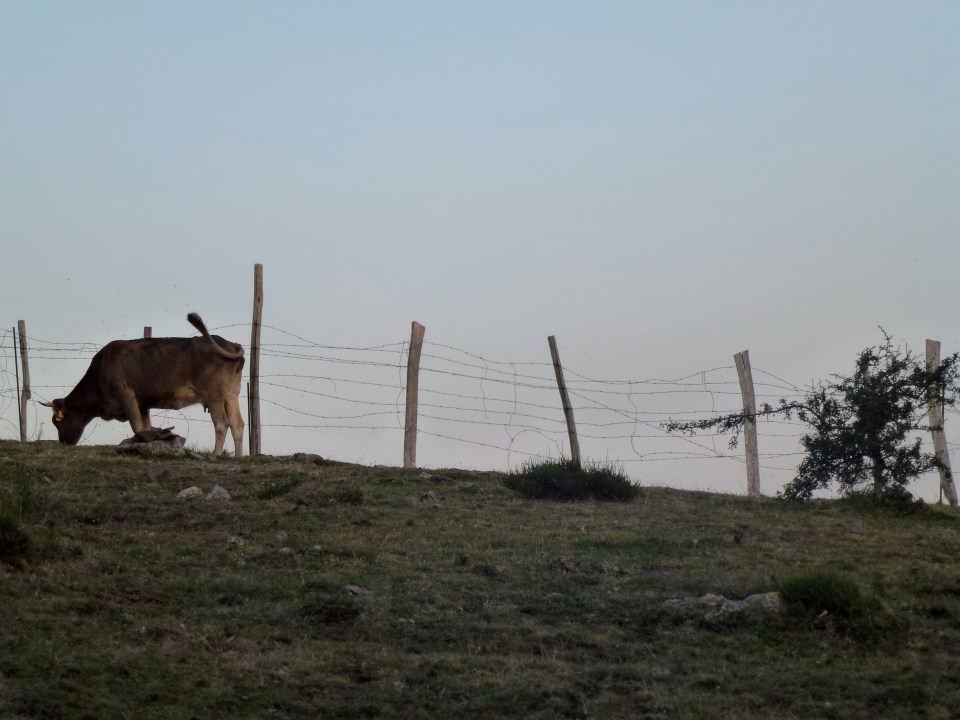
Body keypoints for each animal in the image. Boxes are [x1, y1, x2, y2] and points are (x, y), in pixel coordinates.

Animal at [42, 313, 245, 456]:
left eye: (56, 421)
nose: (64, 441)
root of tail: (229, 344)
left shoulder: (127, 396)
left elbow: (137, 427)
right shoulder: (143, 404)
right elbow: (146, 428)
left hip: (214, 395)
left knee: (222, 423)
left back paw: (215, 454)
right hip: (231, 395)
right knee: (238, 424)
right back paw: (239, 456)